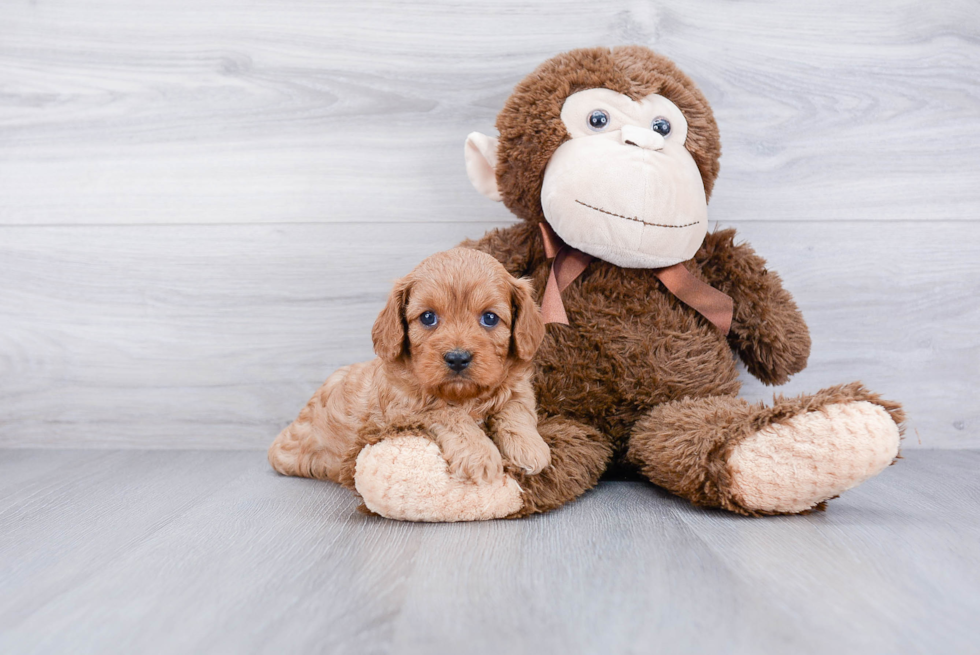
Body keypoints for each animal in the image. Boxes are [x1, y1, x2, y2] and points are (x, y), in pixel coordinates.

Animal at [266, 249, 552, 490]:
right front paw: (480, 454)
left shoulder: (518, 387)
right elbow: (450, 414)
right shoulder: (407, 409)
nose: (458, 358)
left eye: (490, 318)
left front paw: (529, 447)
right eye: (428, 317)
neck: (464, 396)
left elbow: (515, 408)